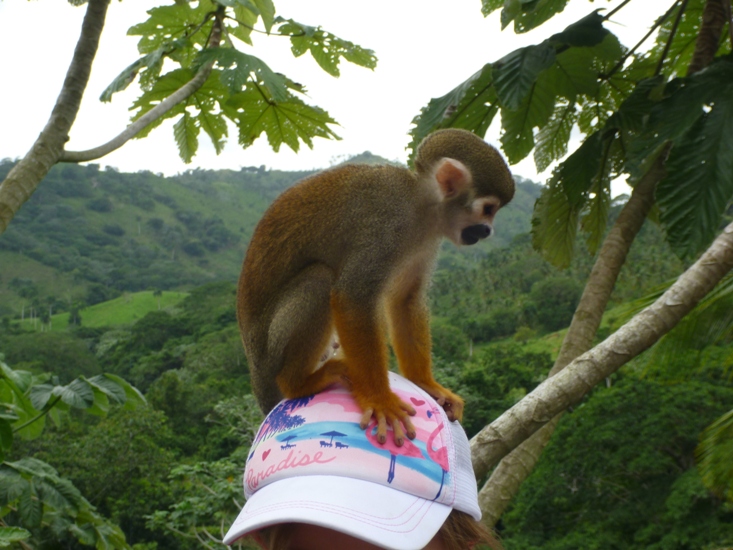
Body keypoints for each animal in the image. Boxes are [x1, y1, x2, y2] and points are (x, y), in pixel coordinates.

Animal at [237, 130, 512, 448]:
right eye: (488, 209)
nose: (488, 231)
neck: (421, 206)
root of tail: (256, 374)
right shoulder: (387, 225)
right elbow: (353, 296)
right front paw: (381, 400)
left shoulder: (428, 239)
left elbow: (405, 299)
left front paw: (426, 384)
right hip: (271, 350)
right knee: (320, 279)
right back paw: (297, 384)